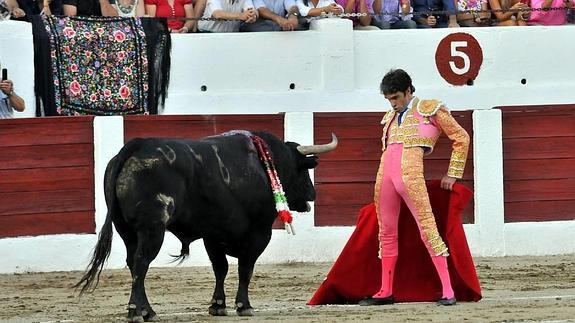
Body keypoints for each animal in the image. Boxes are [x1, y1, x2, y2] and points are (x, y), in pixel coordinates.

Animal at [76, 131, 338, 322]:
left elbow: (220, 268)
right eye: (302, 169)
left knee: (133, 264)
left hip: (127, 231)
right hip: (152, 229)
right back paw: (135, 312)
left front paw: (218, 305)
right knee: (141, 264)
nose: (312, 195)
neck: (265, 164)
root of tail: (137, 145)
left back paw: (147, 311)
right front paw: (244, 305)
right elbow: (245, 268)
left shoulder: (213, 235)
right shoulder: (259, 232)